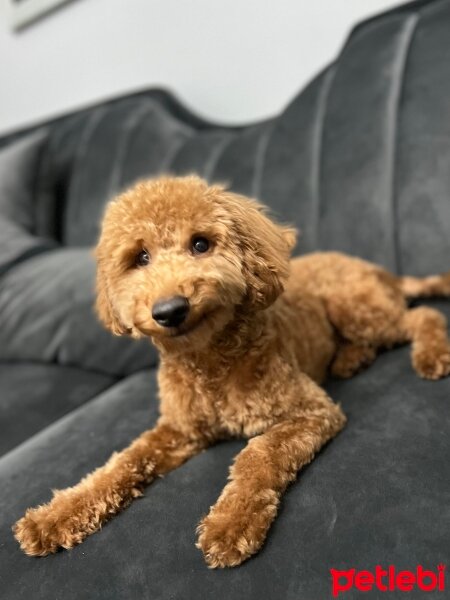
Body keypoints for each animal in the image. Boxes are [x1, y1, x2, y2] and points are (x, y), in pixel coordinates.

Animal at [13, 175, 450, 568]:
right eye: (140, 258)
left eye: (200, 244)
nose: (170, 310)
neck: (209, 363)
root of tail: (378, 269)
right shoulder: (180, 431)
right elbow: (124, 461)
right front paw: (54, 516)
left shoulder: (311, 411)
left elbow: (258, 453)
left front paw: (231, 523)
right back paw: (350, 359)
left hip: (355, 306)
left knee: (422, 317)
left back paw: (431, 353)